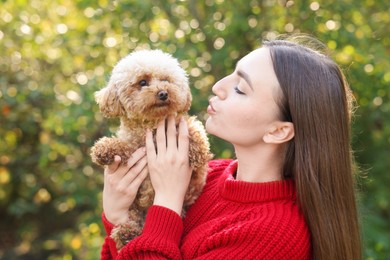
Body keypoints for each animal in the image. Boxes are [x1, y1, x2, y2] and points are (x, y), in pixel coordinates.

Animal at [90, 49, 212, 250]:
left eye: (166, 79)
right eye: (142, 82)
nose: (163, 93)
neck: (151, 123)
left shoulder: (194, 180)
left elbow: (192, 125)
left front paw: (199, 150)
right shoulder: (134, 146)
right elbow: (123, 145)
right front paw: (103, 148)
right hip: (135, 207)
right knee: (134, 219)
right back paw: (126, 233)